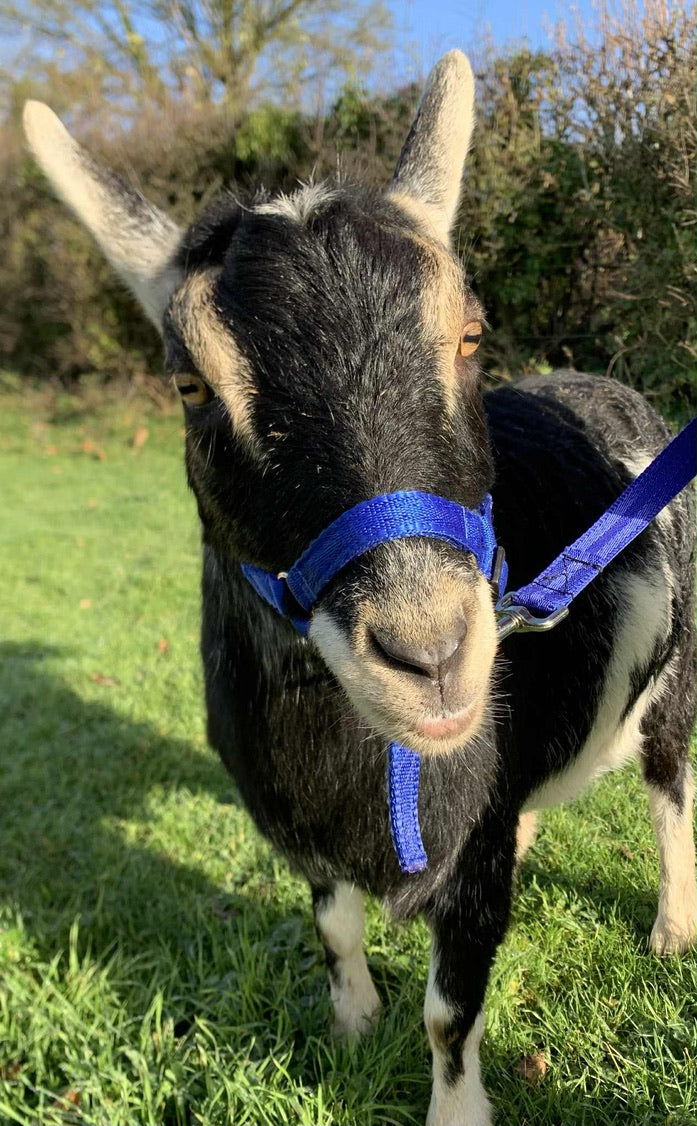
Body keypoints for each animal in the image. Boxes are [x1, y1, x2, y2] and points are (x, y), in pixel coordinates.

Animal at [23, 50, 696, 1126]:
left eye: (469, 336)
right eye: (189, 386)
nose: (430, 652)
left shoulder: (468, 862)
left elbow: (451, 1010)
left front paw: (454, 1111)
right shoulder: (296, 823)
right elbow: (335, 925)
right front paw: (349, 1024)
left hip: (674, 664)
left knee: (668, 779)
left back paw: (673, 925)